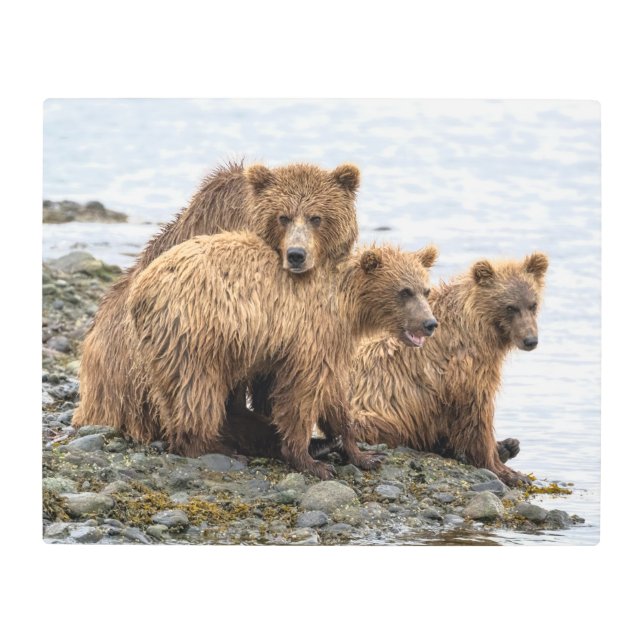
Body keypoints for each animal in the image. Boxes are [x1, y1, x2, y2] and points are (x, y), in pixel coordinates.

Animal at [126, 232, 439, 479]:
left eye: (425, 289)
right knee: (197, 391)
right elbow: (302, 393)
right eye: (404, 291)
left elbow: (336, 395)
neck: (348, 306)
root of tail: (139, 289)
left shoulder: (334, 343)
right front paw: (310, 461)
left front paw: (362, 454)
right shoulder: (311, 334)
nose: (430, 323)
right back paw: (216, 447)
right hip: (195, 333)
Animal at [349, 252, 549, 486]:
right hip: (370, 411)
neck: (478, 327)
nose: (530, 340)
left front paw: (505, 452)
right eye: (510, 307)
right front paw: (508, 472)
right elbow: (476, 414)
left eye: (532, 304)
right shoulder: (464, 370)